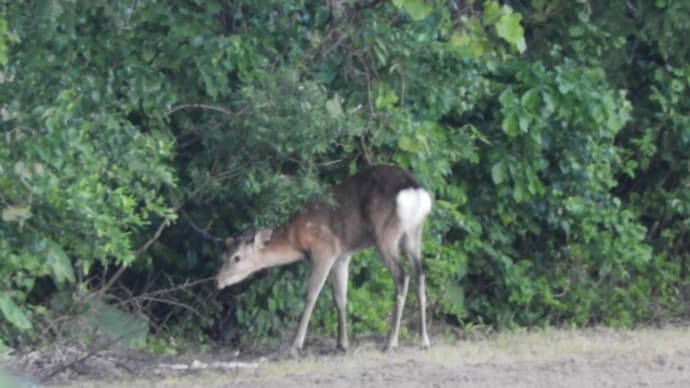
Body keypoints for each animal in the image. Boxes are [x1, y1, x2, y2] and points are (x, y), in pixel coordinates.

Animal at [215, 164, 430, 354]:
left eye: (236, 257)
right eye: (224, 253)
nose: (217, 280)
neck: (296, 238)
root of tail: (417, 194)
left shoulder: (324, 250)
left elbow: (311, 295)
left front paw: (295, 346)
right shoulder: (342, 255)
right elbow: (340, 298)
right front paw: (342, 345)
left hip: (385, 236)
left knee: (403, 277)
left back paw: (391, 343)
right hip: (413, 234)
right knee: (419, 275)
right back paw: (424, 341)